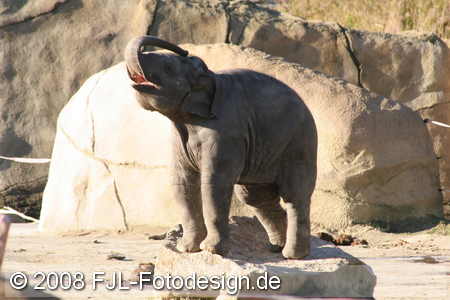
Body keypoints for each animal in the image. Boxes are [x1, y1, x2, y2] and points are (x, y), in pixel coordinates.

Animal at [125, 36, 318, 258]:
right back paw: (276, 247)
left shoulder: (226, 132)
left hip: (299, 145)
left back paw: (293, 254)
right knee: (257, 197)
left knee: (294, 195)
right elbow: (182, 182)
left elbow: (215, 183)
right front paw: (186, 248)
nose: (185, 51)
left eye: (167, 67)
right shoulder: (179, 139)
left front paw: (211, 250)